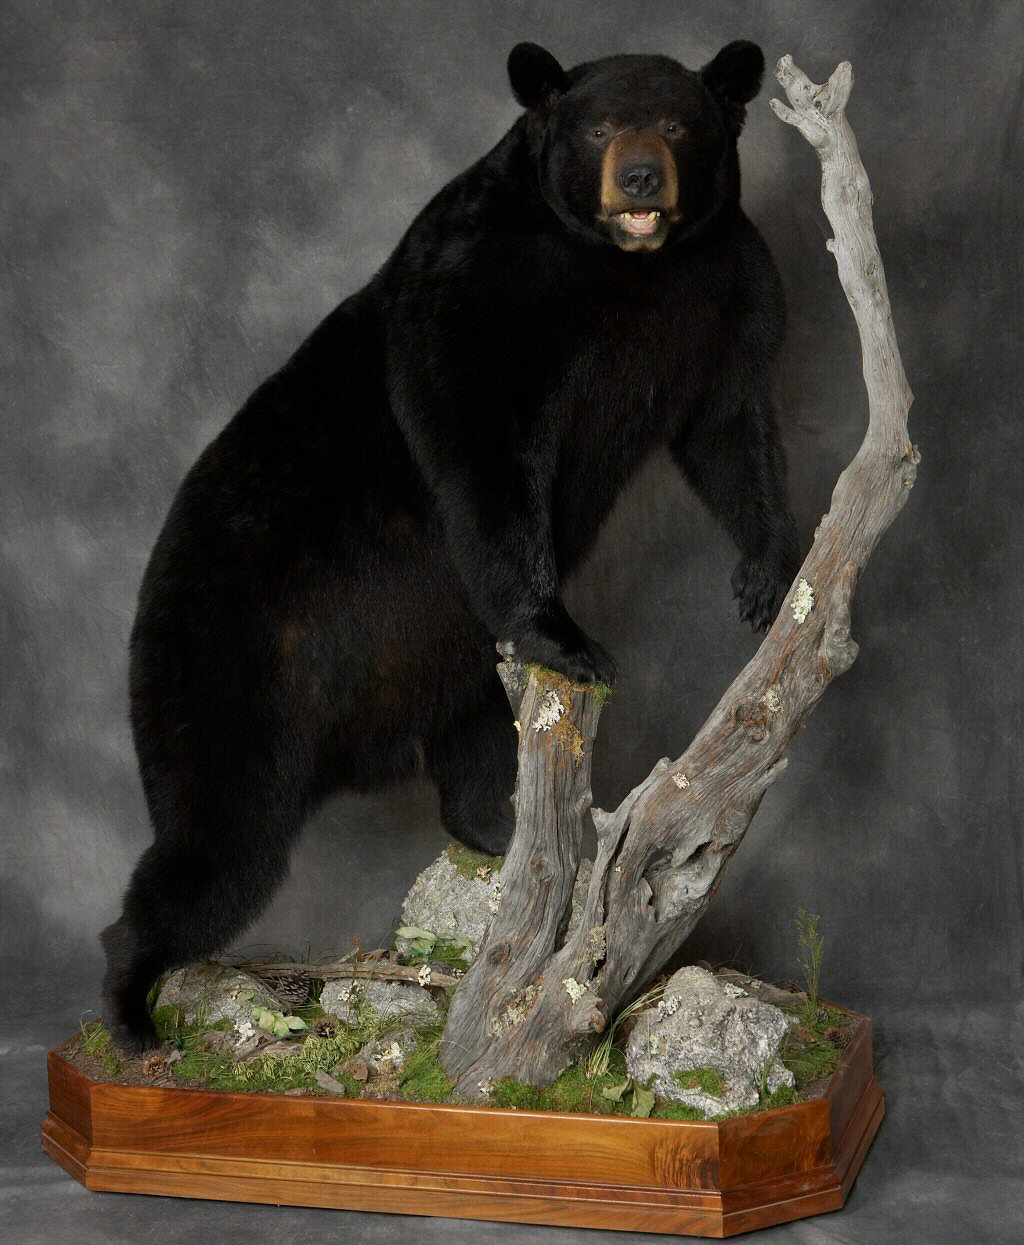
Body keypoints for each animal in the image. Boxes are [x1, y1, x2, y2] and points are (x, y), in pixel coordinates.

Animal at [101, 40, 800, 1051]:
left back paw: (514, 835)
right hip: (222, 675)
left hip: (449, 667)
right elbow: (481, 447)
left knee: (469, 751)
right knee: (214, 845)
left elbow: (731, 429)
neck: (629, 271)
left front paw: (766, 574)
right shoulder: (478, 288)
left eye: (676, 122)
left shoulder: (727, 287)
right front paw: (568, 636)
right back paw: (131, 1009)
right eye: (598, 125)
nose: (638, 176)